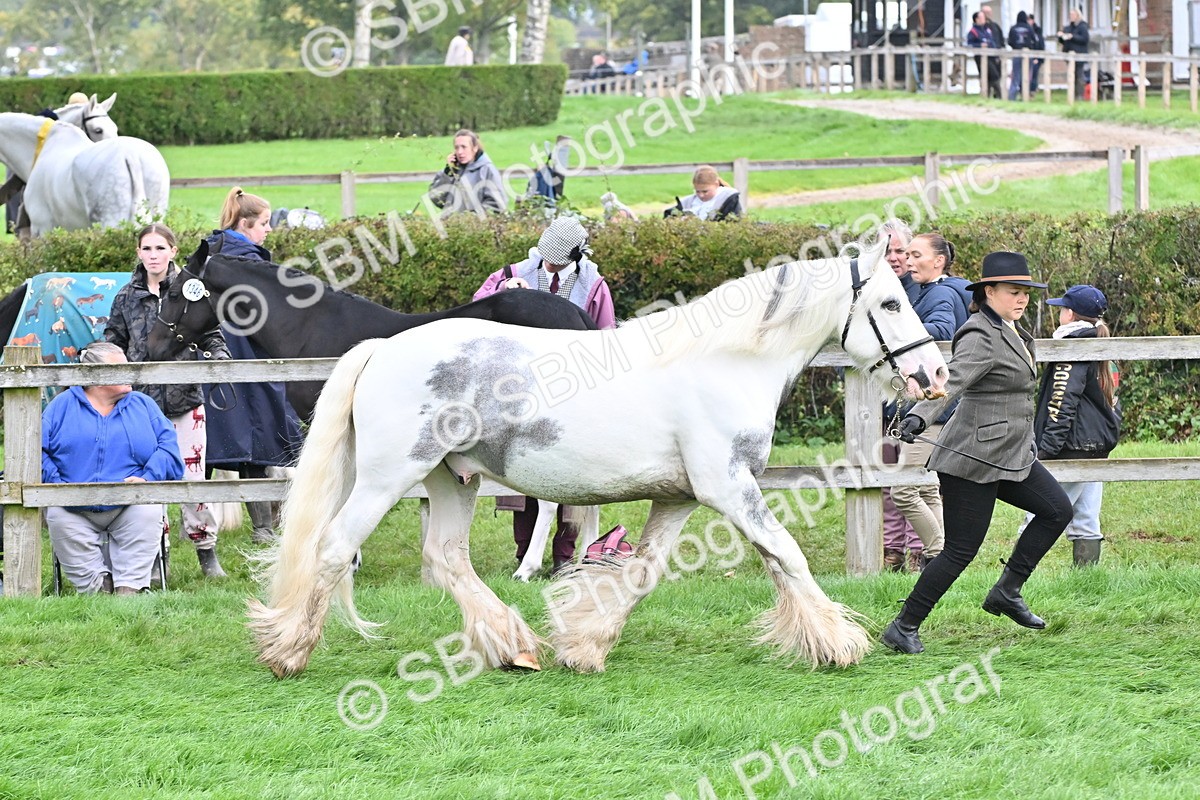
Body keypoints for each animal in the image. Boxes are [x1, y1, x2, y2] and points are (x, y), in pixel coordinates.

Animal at [247, 239, 950, 679]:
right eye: (890, 302)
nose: (936, 374)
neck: (725, 362)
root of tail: (383, 348)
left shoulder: (679, 497)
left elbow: (641, 574)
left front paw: (583, 645)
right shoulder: (729, 488)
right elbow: (787, 555)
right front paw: (839, 643)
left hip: (453, 480)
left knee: (445, 558)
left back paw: (516, 646)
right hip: (388, 477)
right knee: (335, 548)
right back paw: (288, 651)